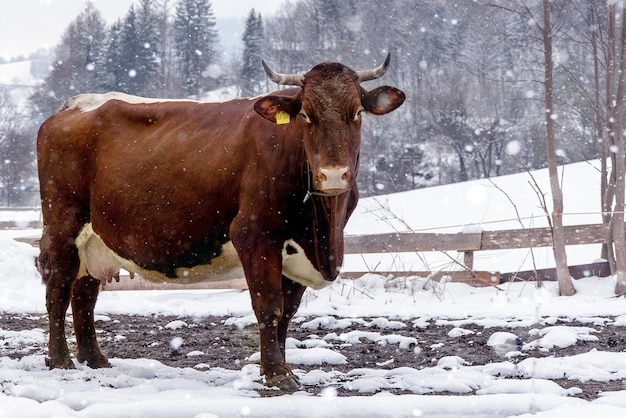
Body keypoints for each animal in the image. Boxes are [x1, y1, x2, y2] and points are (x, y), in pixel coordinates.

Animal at [36, 54, 404, 390]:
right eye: (305, 115)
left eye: (357, 112)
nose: (333, 175)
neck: (322, 230)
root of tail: (73, 105)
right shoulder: (255, 235)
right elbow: (269, 306)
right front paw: (276, 375)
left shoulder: (297, 251)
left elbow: (287, 312)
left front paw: (282, 369)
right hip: (63, 224)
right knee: (58, 289)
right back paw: (60, 360)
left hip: (95, 239)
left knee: (84, 294)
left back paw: (95, 359)